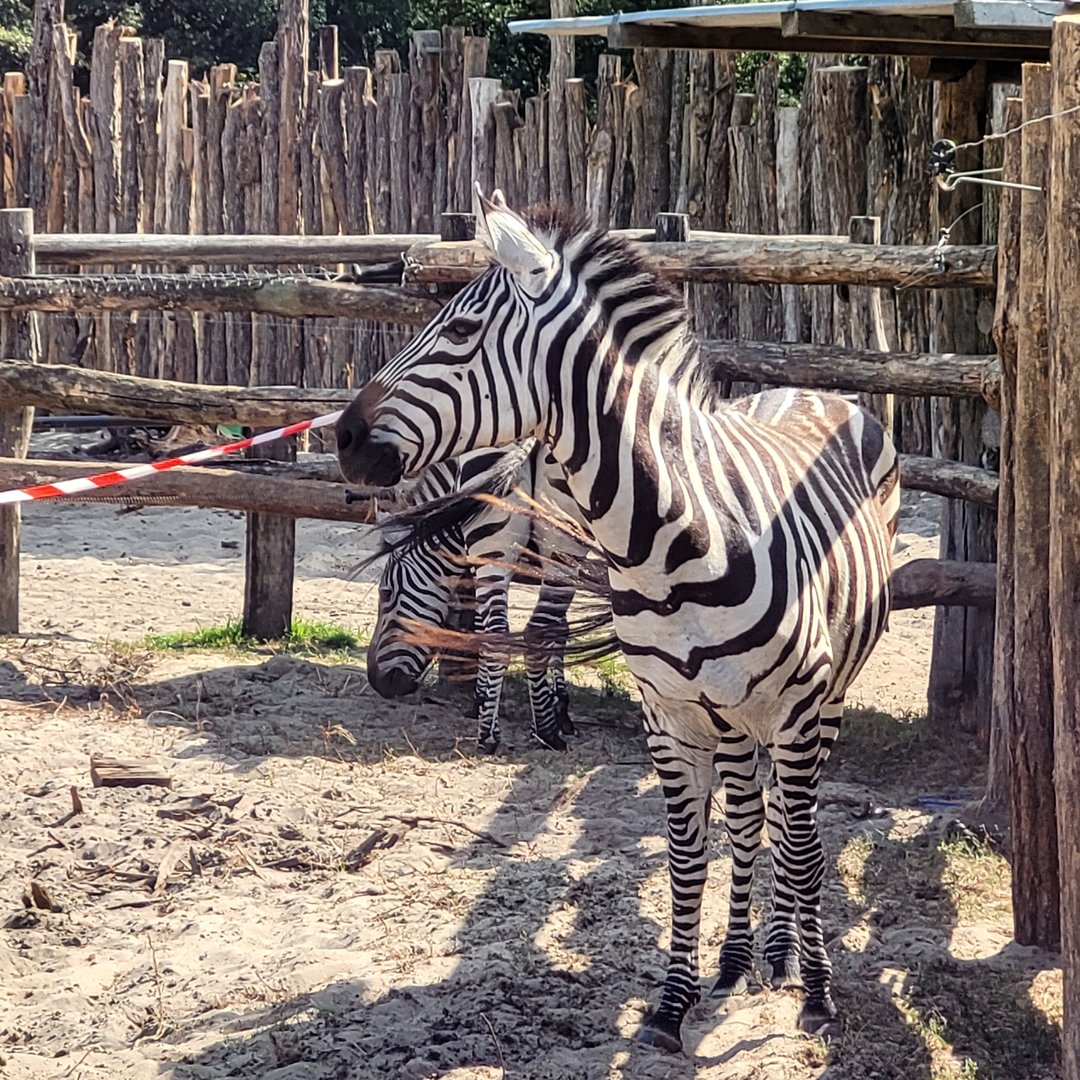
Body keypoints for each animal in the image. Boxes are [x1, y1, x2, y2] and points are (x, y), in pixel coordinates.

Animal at [365, 439, 596, 752]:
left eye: (386, 593)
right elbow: (557, 630)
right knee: (519, 631)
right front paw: (557, 708)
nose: (377, 682)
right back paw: (529, 731)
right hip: (551, 548)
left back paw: (513, 732)